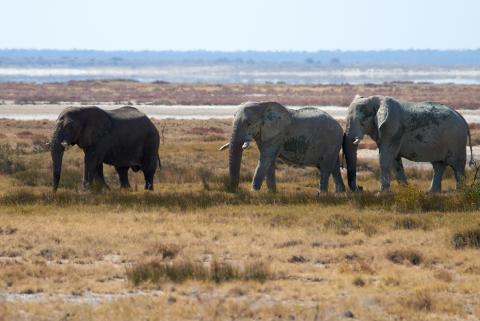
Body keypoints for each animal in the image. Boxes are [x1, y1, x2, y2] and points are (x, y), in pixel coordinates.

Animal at [344, 94, 474, 190]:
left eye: (361, 121)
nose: (361, 187)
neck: (374, 100)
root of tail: (462, 117)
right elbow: (394, 160)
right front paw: (405, 190)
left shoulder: (392, 128)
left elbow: (385, 157)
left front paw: (382, 193)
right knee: (438, 165)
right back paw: (431, 192)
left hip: (456, 140)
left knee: (457, 166)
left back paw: (459, 191)